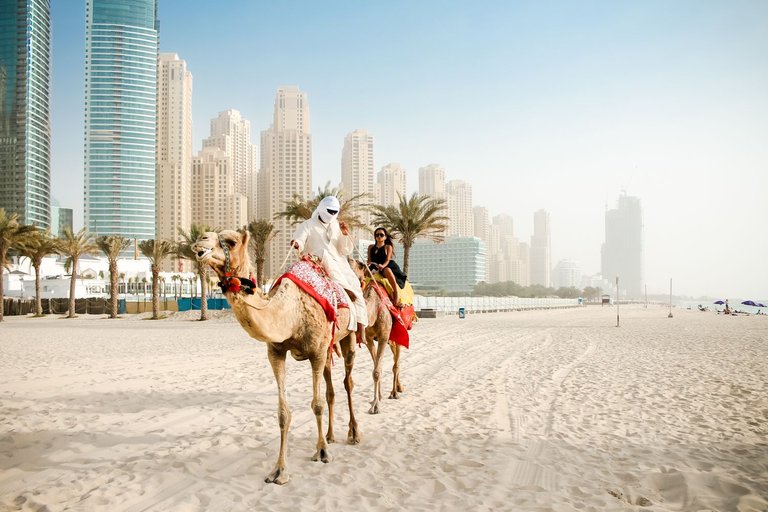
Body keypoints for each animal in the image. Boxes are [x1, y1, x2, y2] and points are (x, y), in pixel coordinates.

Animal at [190, 230, 362, 486]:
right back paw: (331, 435)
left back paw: (353, 433)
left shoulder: (316, 352)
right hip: (328, 347)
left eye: (231, 241)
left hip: (348, 335)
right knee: (331, 389)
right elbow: (283, 413)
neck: (290, 314)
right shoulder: (276, 352)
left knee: (348, 382)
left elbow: (317, 405)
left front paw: (322, 452)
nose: (200, 240)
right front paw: (279, 470)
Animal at [350, 262, 404, 414]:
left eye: (358, 265)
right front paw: (377, 397)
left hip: (396, 334)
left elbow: (377, 370)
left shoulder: (384, 336)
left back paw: (394, 392)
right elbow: (376, 367)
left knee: (396, 363)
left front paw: (375, 406)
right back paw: (398, 388)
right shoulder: (369, 339)